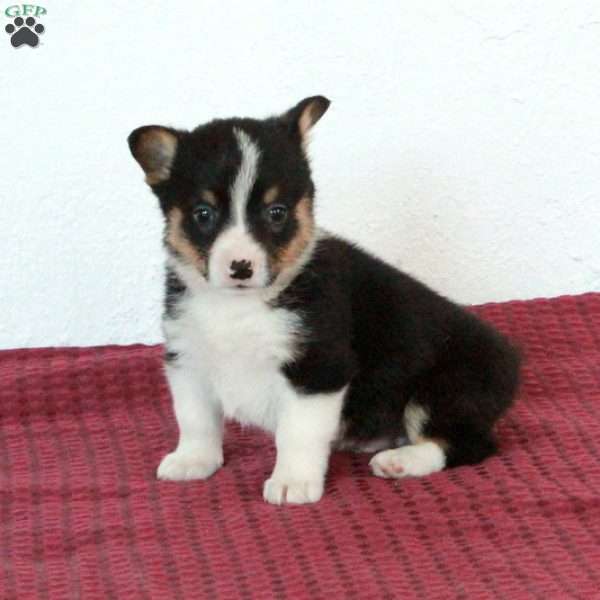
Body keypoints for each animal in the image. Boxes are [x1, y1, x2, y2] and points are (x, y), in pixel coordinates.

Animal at [127, 98, 520, 506]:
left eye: (277, 212)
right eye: (203, 213)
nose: (240, 267)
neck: (239, 306)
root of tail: (513, 361)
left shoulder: (316, 368)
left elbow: (297, 433)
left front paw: (292, 483)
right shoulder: (187, 359)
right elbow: (195, 419)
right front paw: (192, 461)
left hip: (443, 390)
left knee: (467, 443)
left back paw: (400, 460)